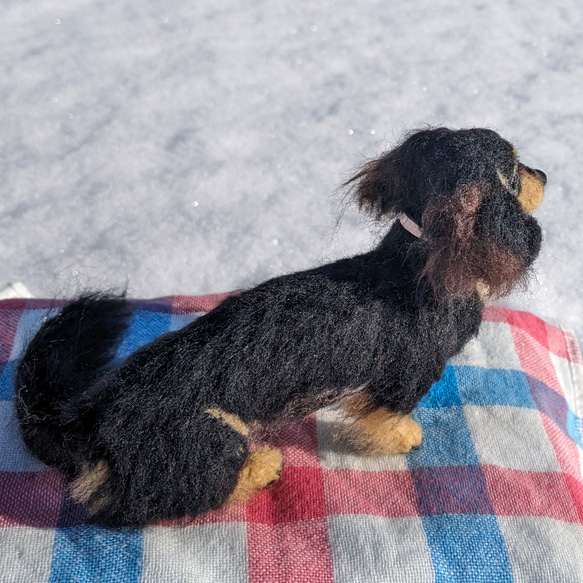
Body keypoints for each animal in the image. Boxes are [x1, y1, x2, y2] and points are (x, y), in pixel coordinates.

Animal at [14, 128, 548, 528]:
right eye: (515, 168)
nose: (546, 173)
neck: (416, 261)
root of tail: (90, 418)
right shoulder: (408, 375)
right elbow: (389, 416)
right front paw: (402, 438)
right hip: (207, 436)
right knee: (158, 502)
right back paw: (260, 468)